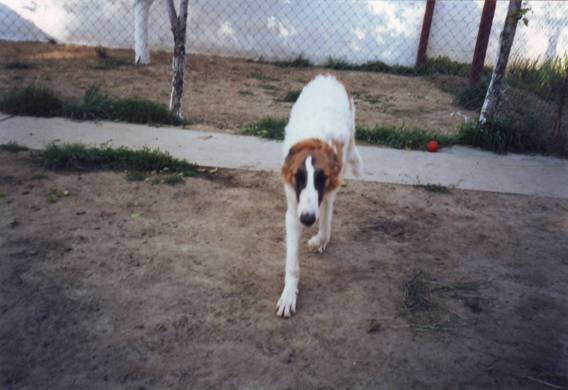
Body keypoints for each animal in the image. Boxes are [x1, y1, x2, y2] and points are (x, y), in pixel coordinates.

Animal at [276, 75, 364, 316]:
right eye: (298, 177)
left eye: (320, 178)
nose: (307, 219)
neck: (313, 139)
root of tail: (328, 76)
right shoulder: (293, 211)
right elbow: (292, 264)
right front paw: (289, 295)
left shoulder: (329, 192)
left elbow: (325, 229)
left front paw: (317, 242)